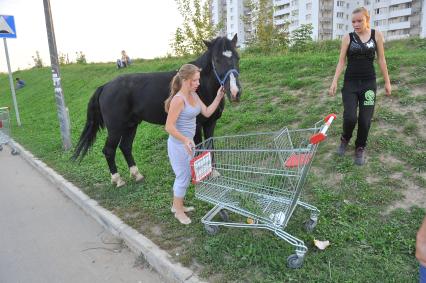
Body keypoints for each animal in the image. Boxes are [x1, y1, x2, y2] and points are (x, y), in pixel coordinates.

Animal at [71, 35, 241, 186]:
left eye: (237, 58)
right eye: (216, 60)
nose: (235, 92)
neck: (201, 86)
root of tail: (105, 86)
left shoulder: (210, 123)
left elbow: (210, 146)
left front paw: (213, 172)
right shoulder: (197, 126)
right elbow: (200, 149)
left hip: (131, 125)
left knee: (125, 147)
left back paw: (137, 175)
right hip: (115, 128)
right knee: (108, 150)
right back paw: (118, 180)